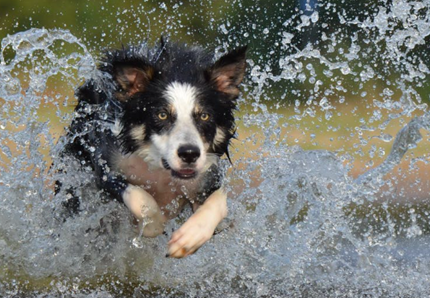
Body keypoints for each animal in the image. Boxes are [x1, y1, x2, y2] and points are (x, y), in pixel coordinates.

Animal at [55, 39, 247, 258]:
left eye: (204, 116)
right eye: (162, 115)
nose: (189, 154)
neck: (160, 169)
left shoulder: (207, 176)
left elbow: (219, 202)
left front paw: (189, 237)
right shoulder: (106, 167)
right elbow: (139, 196)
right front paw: (152, 224)